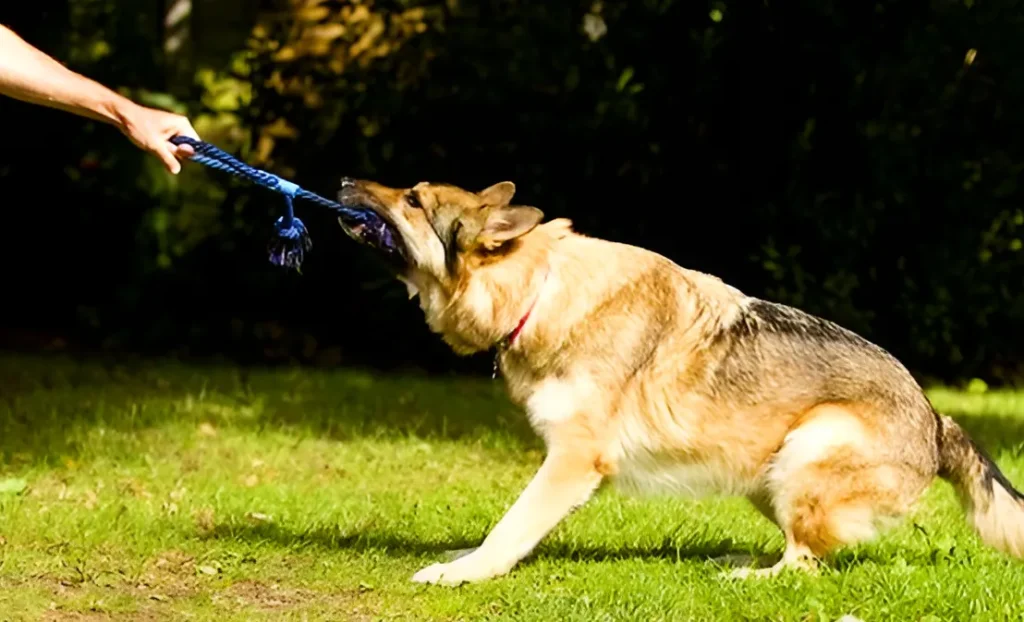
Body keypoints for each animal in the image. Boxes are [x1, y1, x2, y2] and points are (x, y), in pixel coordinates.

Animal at [335, 177, 1024, 586]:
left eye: (415, 199)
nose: (342, 180)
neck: (538, 290)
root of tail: (936, 420)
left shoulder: (572, 463)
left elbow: (510, 527)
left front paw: (464, 573)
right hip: (765, 475)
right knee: (805, 551)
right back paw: (740, 558)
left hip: (806, 450)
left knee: (805, 566)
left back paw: (746, 578)